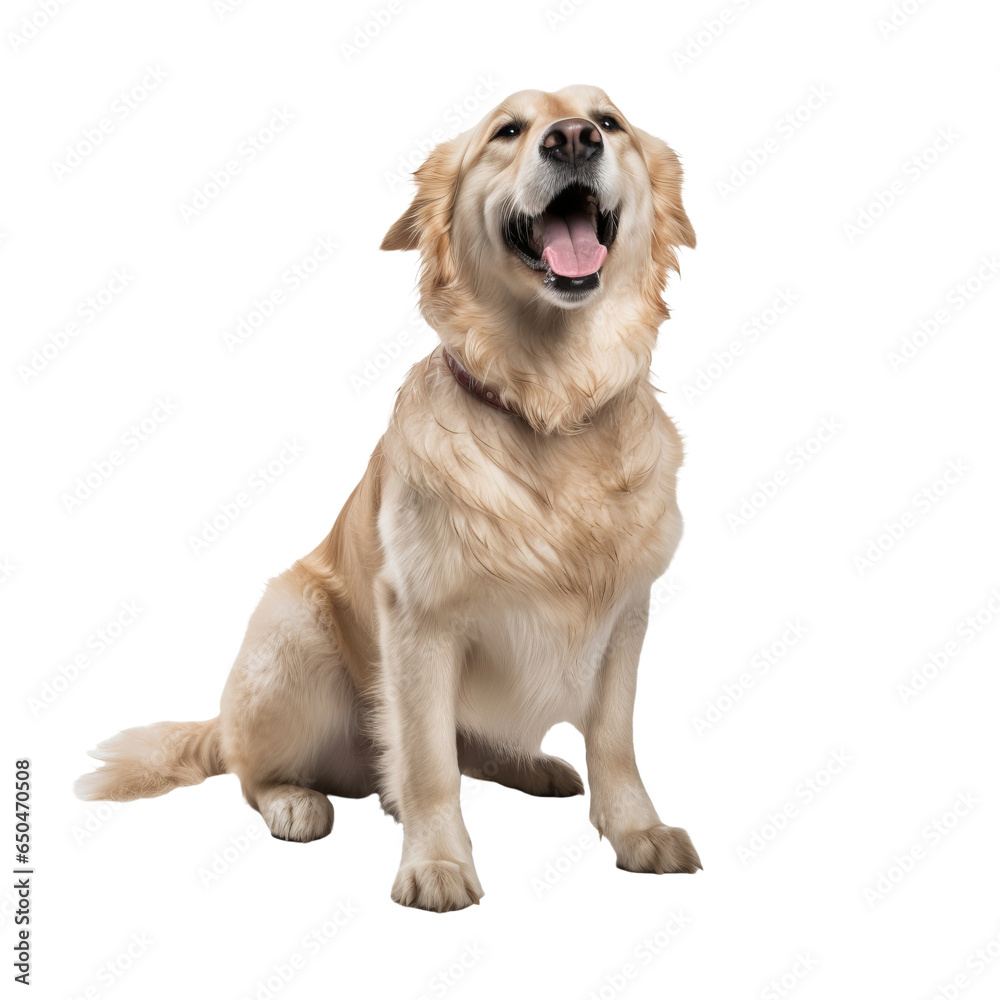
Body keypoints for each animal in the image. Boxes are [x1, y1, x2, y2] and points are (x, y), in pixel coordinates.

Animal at [78, 86, 700, 912]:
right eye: (509, 131)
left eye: (608, 122)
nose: (572, 139)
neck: (551, 405)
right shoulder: (419, 620)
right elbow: (430, 762)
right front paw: (435, 863)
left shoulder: (626, 615)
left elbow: (614, 741)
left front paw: (637, 831)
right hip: (292, 632)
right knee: (259, 771)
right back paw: (296, 800)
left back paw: (533, 766)